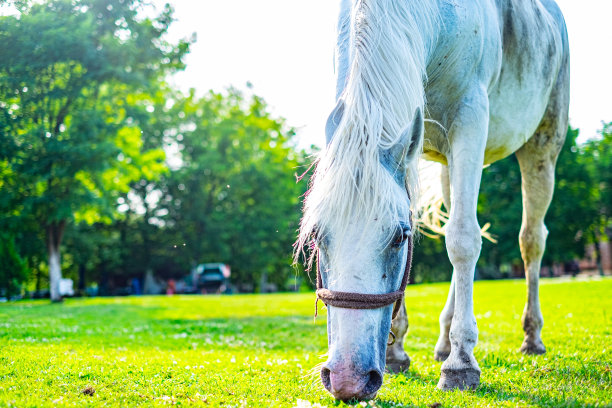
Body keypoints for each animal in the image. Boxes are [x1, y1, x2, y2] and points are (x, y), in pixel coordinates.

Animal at [296, 0, 568, 400]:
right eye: (317, 236)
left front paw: (461, 363)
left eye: (399, 237)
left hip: (542, 147)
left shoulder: (471, 118)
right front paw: (396, 351)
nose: (348, 379)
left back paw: (529, 336)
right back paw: (443, 342)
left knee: (530, 240)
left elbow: (464, 241)